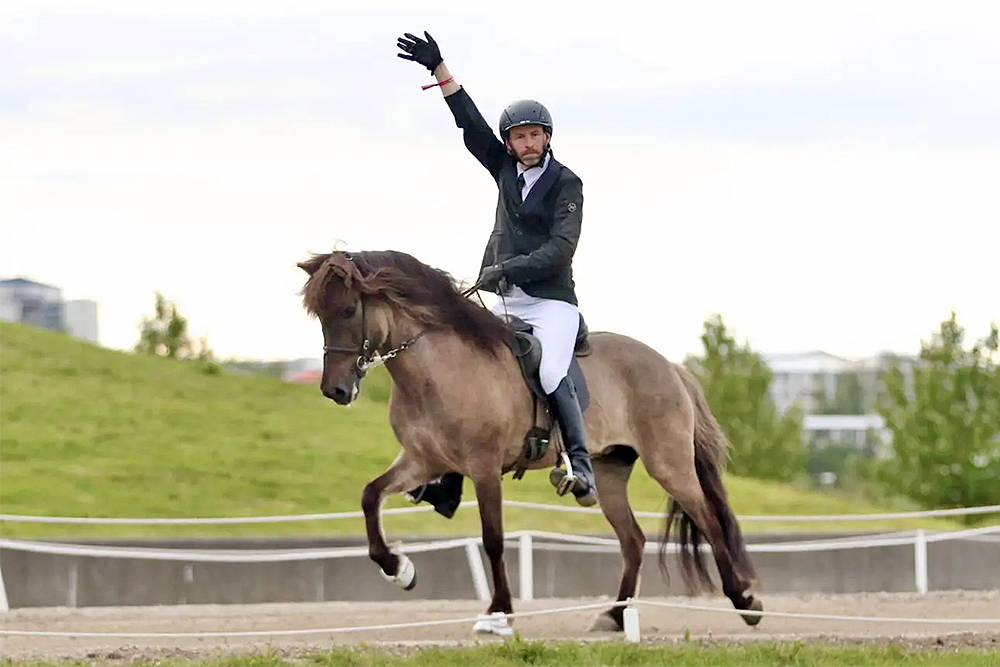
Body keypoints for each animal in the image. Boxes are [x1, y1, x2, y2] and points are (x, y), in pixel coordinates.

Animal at [298, 248, 764, 636]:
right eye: (320, 316)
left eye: (349, 309)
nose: (335, 390)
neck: (436, 368)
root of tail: (669, 364)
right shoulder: (422, 461)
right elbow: (370, 496)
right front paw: (400, 568)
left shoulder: (484, 467)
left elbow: (493, 539)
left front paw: (498, 613)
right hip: (610, 470)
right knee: (633, 540)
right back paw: (613, 617)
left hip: (669, 465)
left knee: (709, 521)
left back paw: (746, 602)